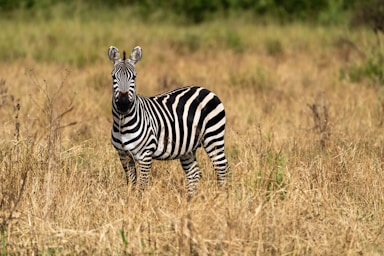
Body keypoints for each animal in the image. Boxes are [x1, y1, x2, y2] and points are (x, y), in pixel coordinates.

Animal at [108, 45, 228, 194]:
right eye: (113, 77)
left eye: (134, 77)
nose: (123, 103)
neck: (123, 124)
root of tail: (206, 90)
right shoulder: (123, 155)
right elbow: (131, 183)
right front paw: (130, 198)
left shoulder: (145, 154)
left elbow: (142, 186)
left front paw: (141, 200)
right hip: (187, 147)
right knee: (193, 173)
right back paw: (191, 198)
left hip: (213, 137)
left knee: (222, 168)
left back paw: (222, 195)